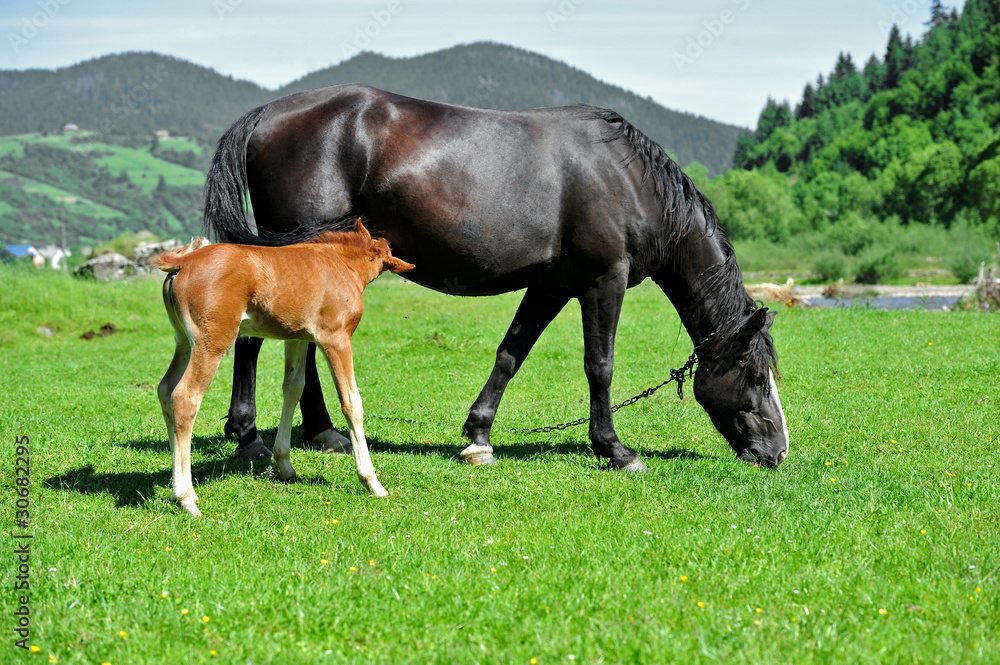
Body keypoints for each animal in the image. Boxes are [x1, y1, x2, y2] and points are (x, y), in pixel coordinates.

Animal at [154, 220, 414, 516]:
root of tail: (184, 262)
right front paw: (372, 482)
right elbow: (351, 402)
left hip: (184, 342)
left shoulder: (298, 338)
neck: (341, 264)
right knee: (184, 397)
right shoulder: (335, 338)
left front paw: (285, 465)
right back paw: (185, 497)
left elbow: (293, 388)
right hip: (212, 343)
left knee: (165, 390)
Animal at [203, 83, 789, 471]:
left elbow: (511, 353)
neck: (627, 179)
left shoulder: (552, 285)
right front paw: (615, 449)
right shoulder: (604, 279)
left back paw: (322, 431)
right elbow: (599, 366)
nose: (777, 452)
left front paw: (478, 435)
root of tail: (269, 111)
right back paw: (251, 436)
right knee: (254, 341)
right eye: (756, 375)